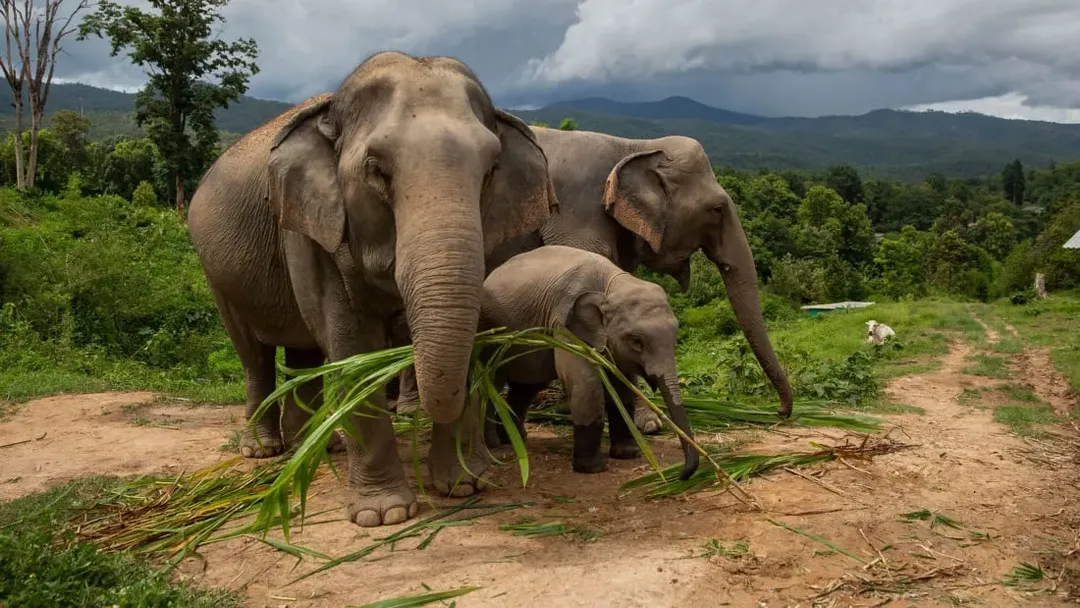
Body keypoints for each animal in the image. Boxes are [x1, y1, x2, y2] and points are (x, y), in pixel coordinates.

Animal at [187, 52, 557, 529]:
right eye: (377, 171)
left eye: (491, 170)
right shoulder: (313, 230)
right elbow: (354, 351)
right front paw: (384, 514)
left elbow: (472, 336)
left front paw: (463, 486)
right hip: (215, 273)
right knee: (254, 356)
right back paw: (264, 450)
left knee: (305, 357)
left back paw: (318, 446)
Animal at [393, 129, 790, 431]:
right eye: (717, 209)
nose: (780, 412)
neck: (632, 146)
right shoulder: (574, 214)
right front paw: (646, 423)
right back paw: (413, 413)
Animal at [481, 244, 699, 481]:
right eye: (636, 341)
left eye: (675, 336)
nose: (681, 474)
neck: (611, 284)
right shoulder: (565, 323)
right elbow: (585, 383)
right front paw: (593, 468)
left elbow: (621, 387)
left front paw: (627, 454)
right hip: (492, 337)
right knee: (492, 381)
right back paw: (493, 444)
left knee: (527, 386)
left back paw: (515, 438)